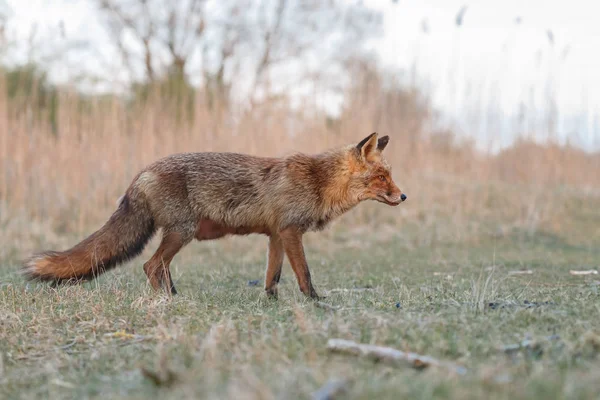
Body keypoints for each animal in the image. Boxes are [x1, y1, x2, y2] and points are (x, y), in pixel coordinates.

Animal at [23, 133, 408, 298]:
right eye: (381, 177)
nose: (403, 196)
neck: (319, 182)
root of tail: (140, 174)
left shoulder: (276, 235)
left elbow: (273, 276)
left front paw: (271, 302)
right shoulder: (290, 232)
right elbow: (304, 274)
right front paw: (316, 302)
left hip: (180, 234)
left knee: (160, 267)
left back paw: (174, 294)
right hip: (182, 232)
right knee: (150, 265)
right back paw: (167, 300)